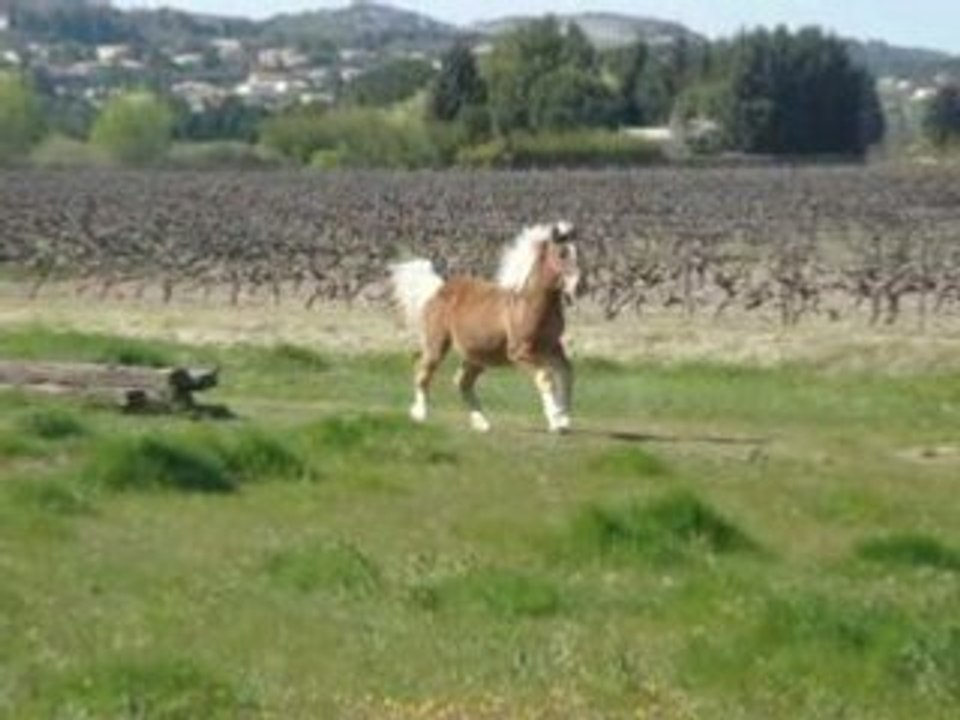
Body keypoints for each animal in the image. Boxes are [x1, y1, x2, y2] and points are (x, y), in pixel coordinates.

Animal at [389, 222, 581, 434]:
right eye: (562, 254)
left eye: (578, 252)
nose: (579, 287)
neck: (529, 305)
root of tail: (438, 289)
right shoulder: (520, 353)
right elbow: (545, 377)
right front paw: (556, 421)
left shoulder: (552, 348)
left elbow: (567, 373)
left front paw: (564, 419)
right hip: (437, 344)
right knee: (423, 370)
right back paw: (420, 414)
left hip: (478, 356)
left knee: (462, 382)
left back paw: (481, 423)